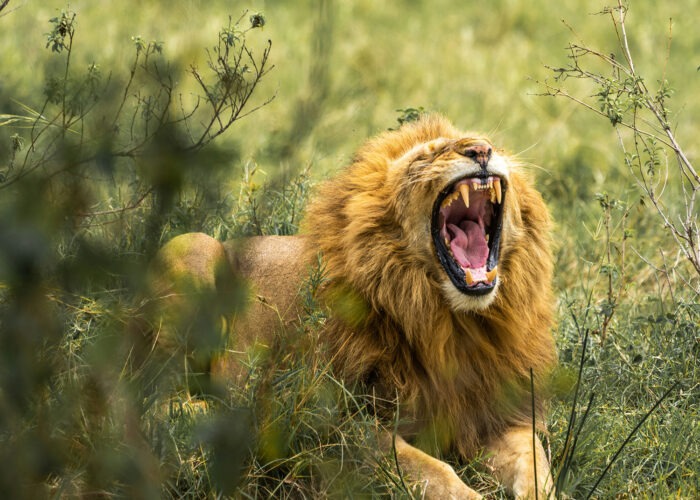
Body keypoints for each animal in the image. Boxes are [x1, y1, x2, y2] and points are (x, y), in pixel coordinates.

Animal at [146, 115, 557, 498]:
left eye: (492, 144)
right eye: (429, 155)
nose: (482, 151)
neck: (449, 320)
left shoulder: (499, 414)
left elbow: (536, 465)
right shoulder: (335, 421)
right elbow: (431, 470)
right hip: (193, 248)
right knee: (154, 394)